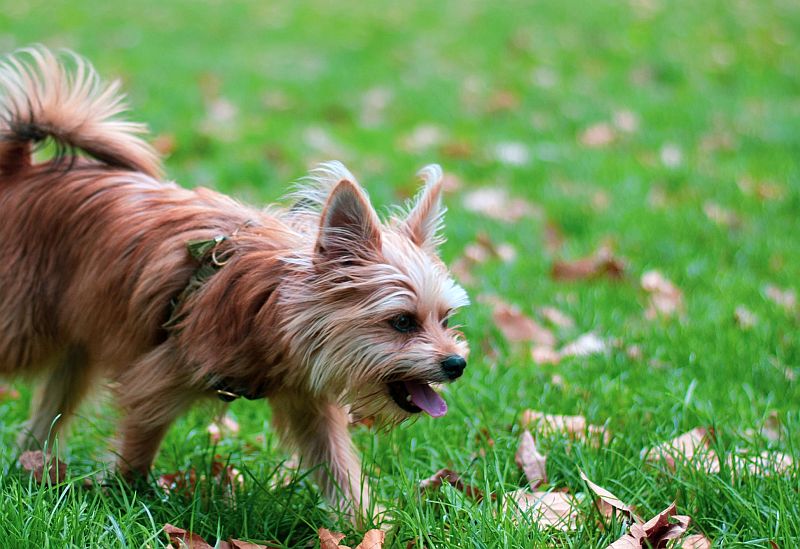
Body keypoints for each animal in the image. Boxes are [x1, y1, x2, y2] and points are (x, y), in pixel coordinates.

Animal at [0, 48, 468, 520]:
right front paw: (127, 499)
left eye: (446, 320)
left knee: (49, 413)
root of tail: (21, 170)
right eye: (402, 322)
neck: (270, 309)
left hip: (77, 346)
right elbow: (137, 447)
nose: (457, 364)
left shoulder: (309, 405)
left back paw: (29, 466)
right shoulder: (155, 379)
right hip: (21, 332)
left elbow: (339, 468)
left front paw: (362, 524)